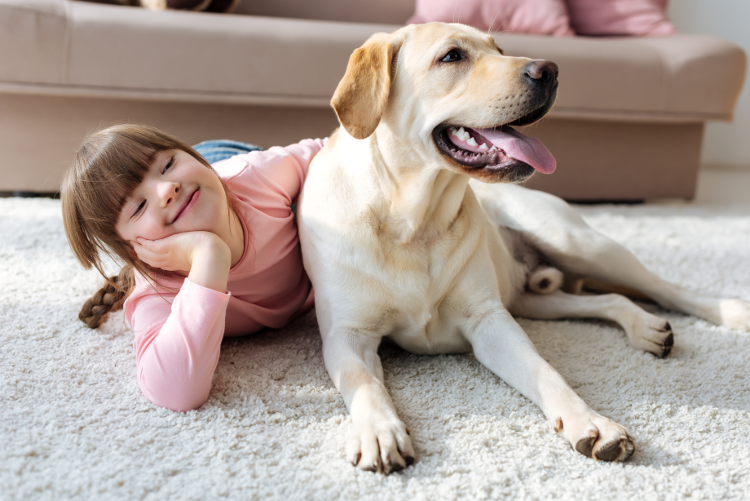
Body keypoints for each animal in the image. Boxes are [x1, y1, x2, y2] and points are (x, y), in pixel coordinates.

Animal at [296, 21, 748, 472]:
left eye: (499, 49)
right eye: (451, 56)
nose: (550, 70)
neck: (413, 222)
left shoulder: (490, 320)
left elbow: (545, 372)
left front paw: (591, 422)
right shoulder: (347, 336)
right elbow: (364, 383)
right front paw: (378, 429)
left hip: (578, 244)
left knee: (662, 287)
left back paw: (729, 311)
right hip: (532, 299)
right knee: (611, 299)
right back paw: (643, 326)